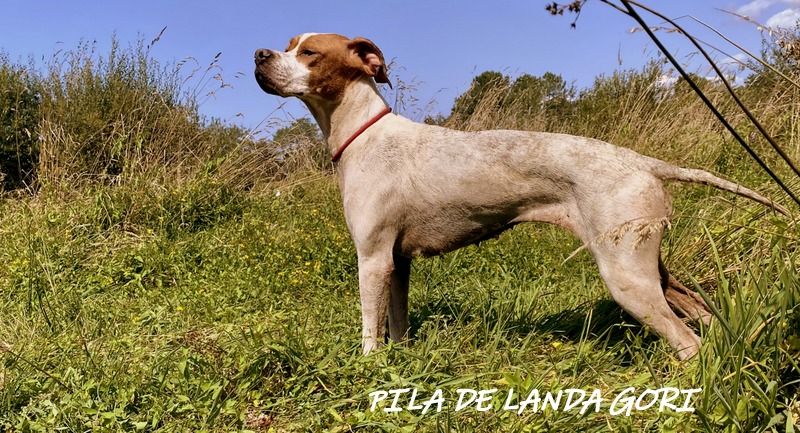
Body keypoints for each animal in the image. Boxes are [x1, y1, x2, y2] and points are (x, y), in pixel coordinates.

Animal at [255, 33, 788, 358]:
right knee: (701, 314)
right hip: (650, 268)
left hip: (626, 280)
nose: (259, 55)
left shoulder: (371, 259)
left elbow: (371, 331)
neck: (363, 134)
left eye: (309, 52)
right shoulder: (396, 261)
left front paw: (370, 371)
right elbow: (398, 324)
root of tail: (642, 161)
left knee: (687, 343)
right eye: (286, 46)